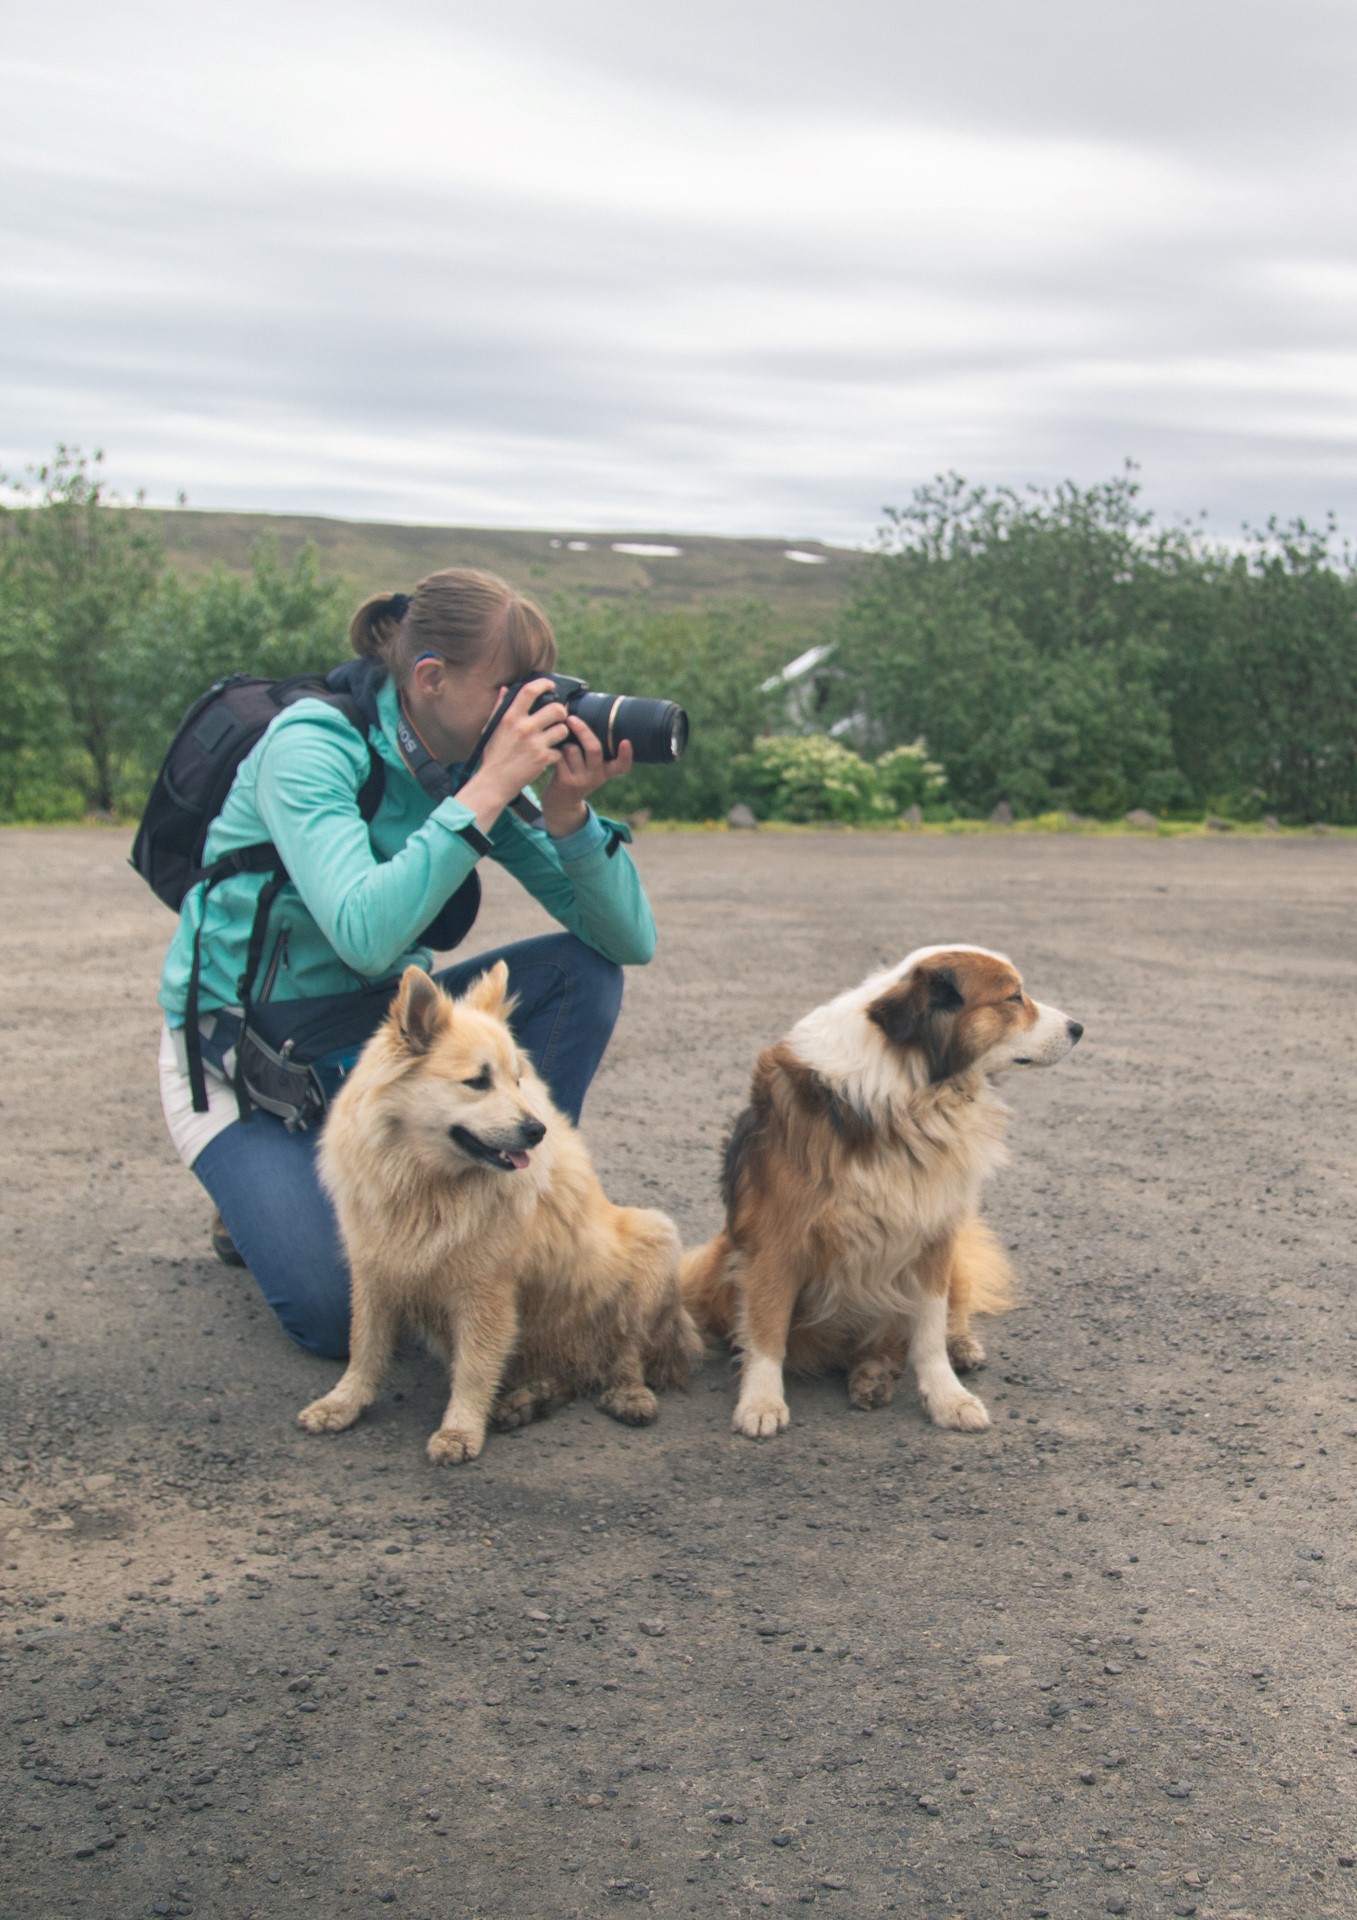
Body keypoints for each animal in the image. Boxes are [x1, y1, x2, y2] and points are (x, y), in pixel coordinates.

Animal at [299, 967, 702, 1459]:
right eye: (478, 1081)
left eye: (517, 1080)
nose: (537, 1130)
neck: (428, 1184)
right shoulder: (375, 1272)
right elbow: (364, 1347)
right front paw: (342, 1403)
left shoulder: (485, 1293)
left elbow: (474, 1369)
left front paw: (460, 1431)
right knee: (567, 1376)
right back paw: (526, 1402)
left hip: (653, 1243)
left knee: (625, 1353)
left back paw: (628, 1395)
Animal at [683, 944, 1090, 1443]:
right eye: (1014, 997)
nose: (1078, 1028)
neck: (910, 1088)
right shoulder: (776, 1243)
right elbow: (766, 1327)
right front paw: (760, 1401)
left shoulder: (934, 1232)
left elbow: (929, 1329)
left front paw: (947, 1397)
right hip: (720, 1264)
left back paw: (935, 1354)